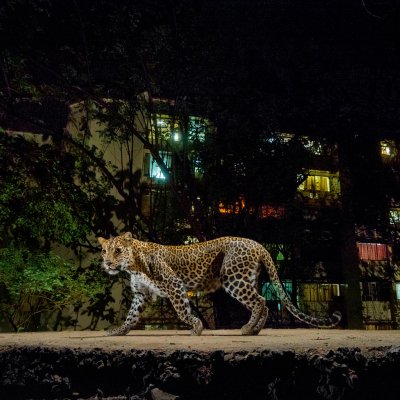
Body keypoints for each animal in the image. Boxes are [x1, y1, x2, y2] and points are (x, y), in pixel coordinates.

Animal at [97, 233, 340, 336]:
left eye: (117, 250)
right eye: (104, 250)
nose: (107, 263)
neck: (133, 266)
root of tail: (259, 245)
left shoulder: (174, 285)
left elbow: (183, 312)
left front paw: (196, 328)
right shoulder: (141, 294)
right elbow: (131, 316)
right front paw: (119, 331)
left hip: (233, 279)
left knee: (260, 300)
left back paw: (248, 329)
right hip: (247, 279)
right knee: (264, 302)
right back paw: (255, 330)